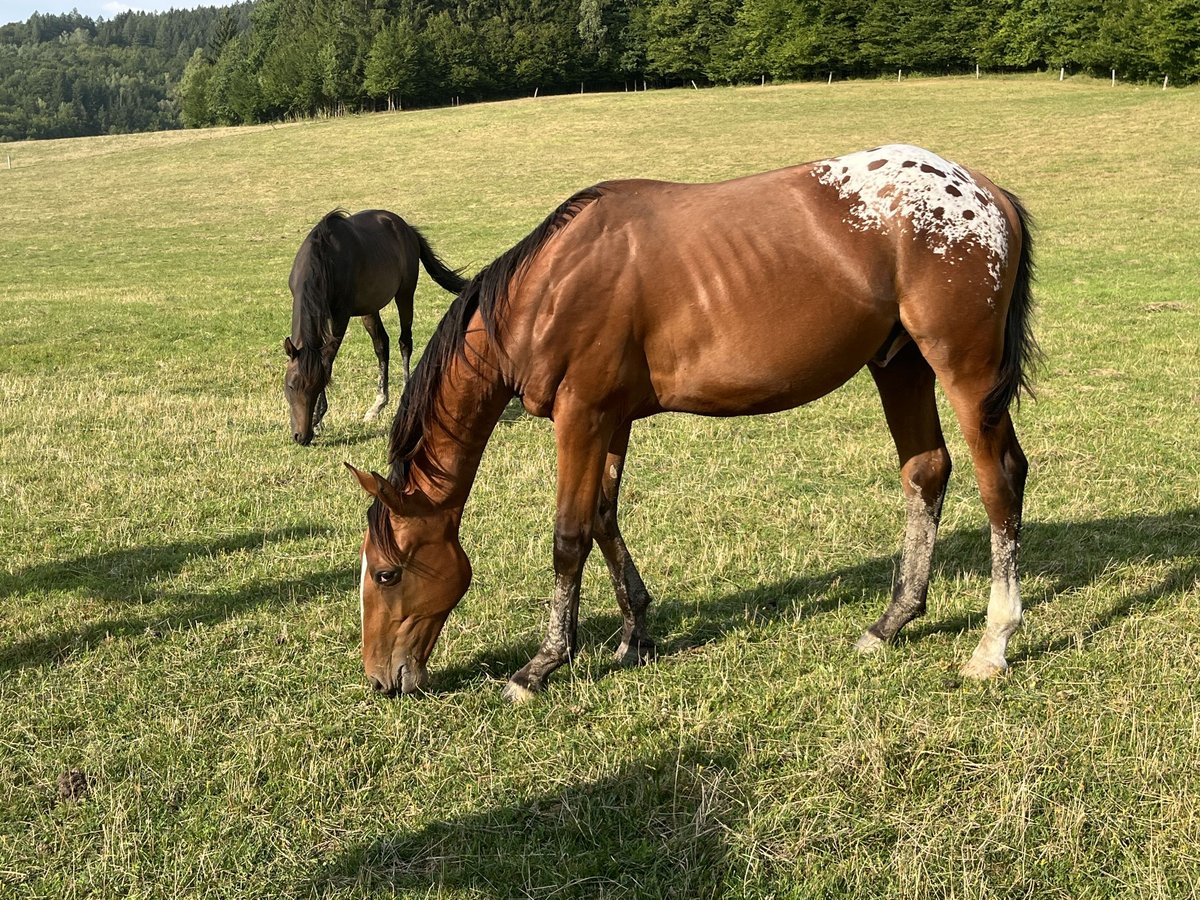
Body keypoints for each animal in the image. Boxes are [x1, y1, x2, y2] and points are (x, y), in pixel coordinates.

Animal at [283, 205, 465, 444]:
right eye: (291, 385)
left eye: (317, 386)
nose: (301, 437)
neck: (325, 258)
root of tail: (406, 228)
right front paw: (319, 421)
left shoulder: (340, 316)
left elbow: (328, 360)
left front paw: (316, 417)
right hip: (370, 307)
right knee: (381, 345)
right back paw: (377, 405)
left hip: (405, 293)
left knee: (404, 342)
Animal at [348, 144, 1041, 700]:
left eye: (387, 573)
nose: (381, 680)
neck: (548, 288)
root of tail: (982, 190)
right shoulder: (612, 420)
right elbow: (604, 516)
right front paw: (635, 633)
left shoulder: (581, 416)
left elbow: (569, 537)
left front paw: (542, 664)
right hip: (899, 364)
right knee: (926, 472)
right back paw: (891, 622)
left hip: (964, 370)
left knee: (1000, 479)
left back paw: (993, 642)